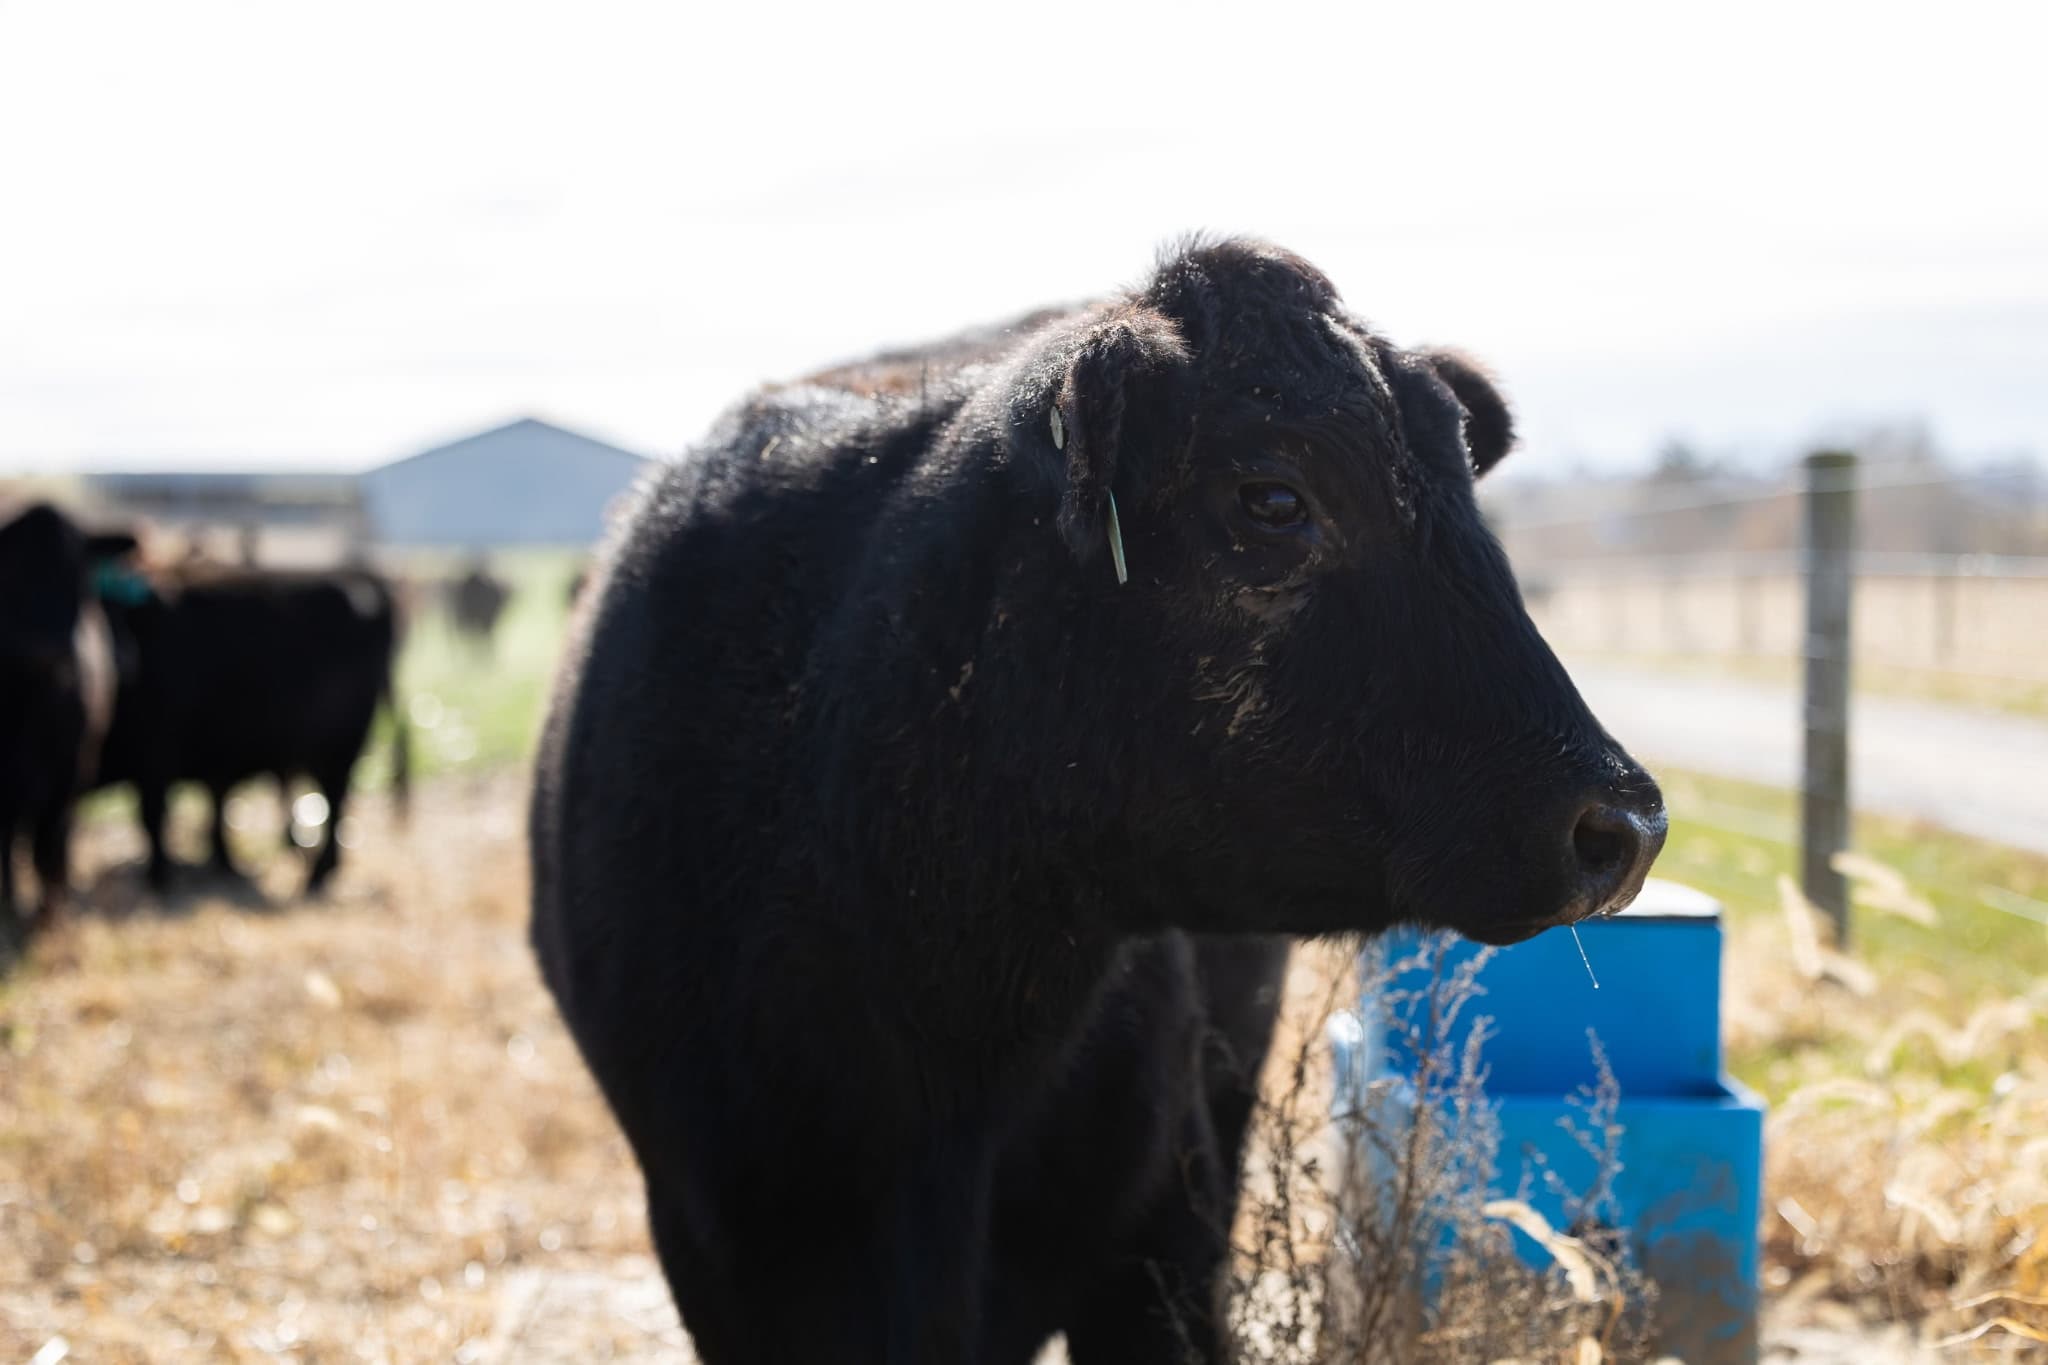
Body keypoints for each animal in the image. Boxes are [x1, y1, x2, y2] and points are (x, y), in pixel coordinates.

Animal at [0, 503, 132, 952]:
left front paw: (49, 921)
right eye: (11, 570)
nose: (50, 647)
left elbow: (49, 848)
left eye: (78, 576)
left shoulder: (70, 773)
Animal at [96, 565, 412, 895]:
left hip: (339, 749)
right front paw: (218, 863)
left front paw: (161, 878)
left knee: (335, 801)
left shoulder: (157, 756)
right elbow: (210, 808)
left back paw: (315, 876)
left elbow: (154, 818)